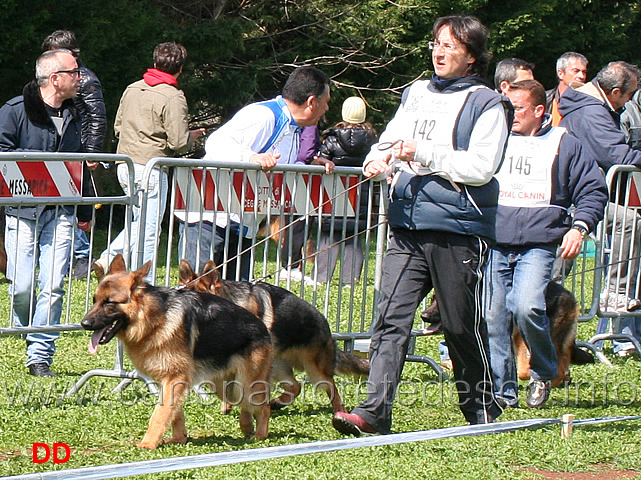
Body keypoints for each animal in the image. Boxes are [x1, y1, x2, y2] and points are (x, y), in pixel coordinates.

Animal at [81, 256, 272, 448]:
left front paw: (148, 444)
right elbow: (174, 414)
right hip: (223, 386)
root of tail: (262, 327)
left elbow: (160, 414)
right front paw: (179, 438)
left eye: (109, 302)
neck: (153, 319)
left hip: (246, 383)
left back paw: (260, 435)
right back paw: (247, 427)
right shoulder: (168, 380)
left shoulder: (174, 378)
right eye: (95, 300)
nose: (84, 324)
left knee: (264, 407)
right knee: (244, 404)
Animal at [180, 258, 370, 412]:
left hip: (315, 371)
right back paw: (277, 403)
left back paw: (341, 414)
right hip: (277, 364)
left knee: (332, 389)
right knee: (296, 386)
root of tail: (324, 325)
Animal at [422, 284, 592, 388]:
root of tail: (567, 294)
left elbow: (521, 370)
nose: (424, 316)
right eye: (432, 300)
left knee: (557, 366)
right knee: (563, 364)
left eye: (442, 305)